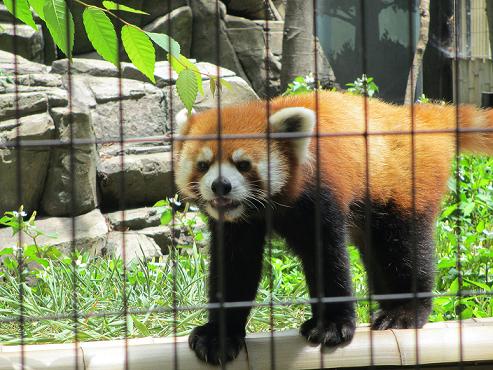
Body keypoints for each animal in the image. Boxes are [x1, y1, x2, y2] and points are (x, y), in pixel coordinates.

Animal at [173, 90, 492, 364]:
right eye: (203, 165)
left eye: (243, 164)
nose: (220, 185)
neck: (266, 206)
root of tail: (414, 117)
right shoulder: (236, 225)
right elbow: (235, 267)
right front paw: (219, 336)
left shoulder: (319, 194)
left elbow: (327, 258)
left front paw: (332, 325)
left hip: (402, 185)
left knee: (404, 249)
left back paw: (404, 312)